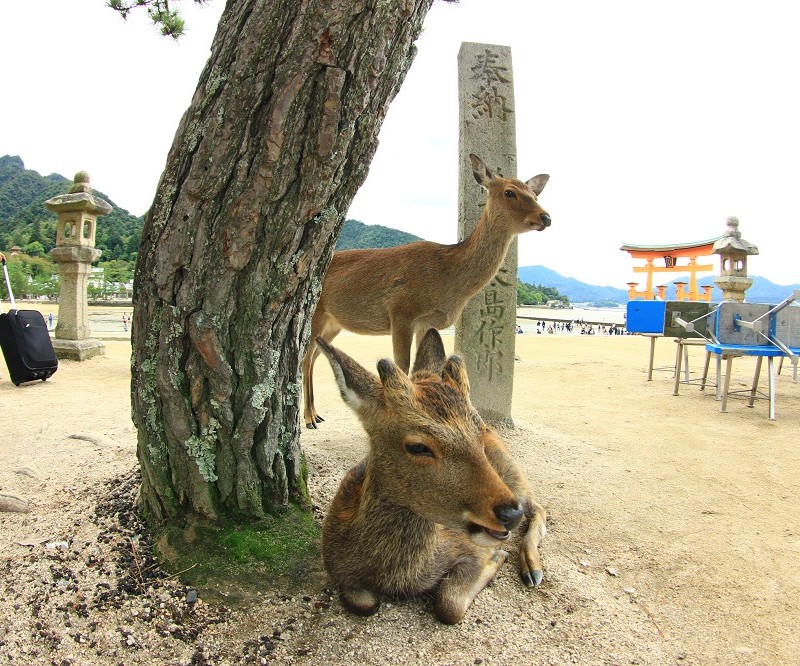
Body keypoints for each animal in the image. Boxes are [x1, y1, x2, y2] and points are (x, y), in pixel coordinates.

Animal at [302, 154, 552, 426]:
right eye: (509, 192)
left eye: (534, 194)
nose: (546, 217)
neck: (448, 280)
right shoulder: (401, 312)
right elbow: (402, 367)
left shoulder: (426, 322)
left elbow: (424, 368)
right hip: (314, 313)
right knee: (303, 360)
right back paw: (308, 418)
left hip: (333, 324)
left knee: (315, 357)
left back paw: (316, 414)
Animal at [316, 326, 548, 624]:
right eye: (417, 446)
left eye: (477, 430)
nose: (510, 514)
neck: (399, 577)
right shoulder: (337, 570)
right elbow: (364, 603)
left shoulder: (470, 551)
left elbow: (449, 605)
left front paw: (497, 558)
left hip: (513, 472)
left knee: (539, 507)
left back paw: (532, 569)